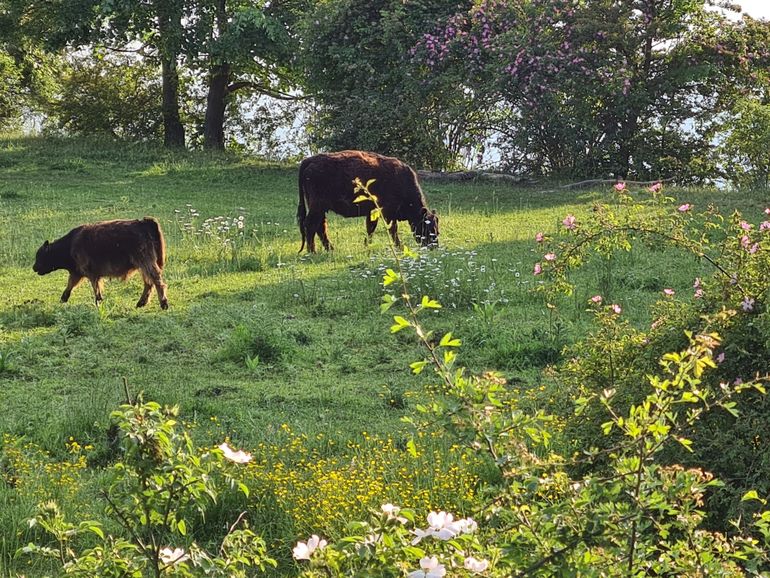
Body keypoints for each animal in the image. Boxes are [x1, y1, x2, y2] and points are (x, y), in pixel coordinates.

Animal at [33, 216, 168, 308]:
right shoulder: (77, 273)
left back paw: (164, 304)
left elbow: (95, 288)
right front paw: (62, 299)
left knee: (156, 280)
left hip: (145, 263)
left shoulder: (91, 274)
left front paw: (98, 302)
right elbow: (69, 286)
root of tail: (143, 222)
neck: (70, 244)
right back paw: (141, 303)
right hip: (143, 266)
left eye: (40, 256)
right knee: (149, 282)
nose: (34, 267)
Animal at [296, 151, 438, 252]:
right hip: (317, 206)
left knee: (320, 226)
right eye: (428, 227)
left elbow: (371, 228)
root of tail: (310, 160)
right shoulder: (388, 212)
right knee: (310, 225)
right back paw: (312, 251)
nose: (434, 246)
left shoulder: (373, 212)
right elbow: (392, 229)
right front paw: (400, 247)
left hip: (320, 208)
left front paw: (367, 245)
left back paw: (330, 249)